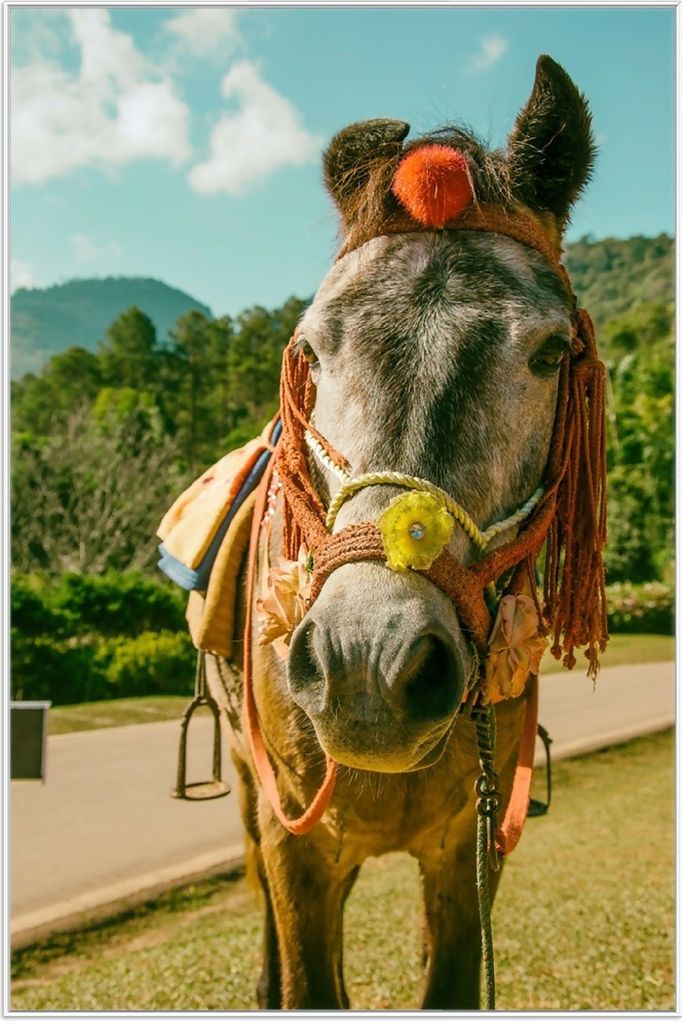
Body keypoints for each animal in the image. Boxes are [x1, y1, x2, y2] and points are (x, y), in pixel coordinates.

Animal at [207, 54, 607, 1010]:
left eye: (549, 354)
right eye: (311, 351)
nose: (368, 665)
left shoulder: (469, 847)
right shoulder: (295, 838)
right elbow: (305, 969)